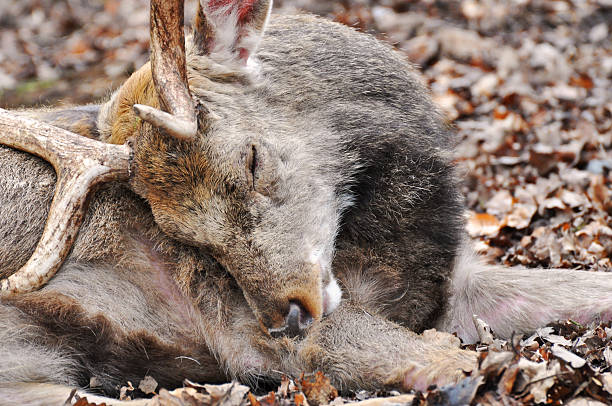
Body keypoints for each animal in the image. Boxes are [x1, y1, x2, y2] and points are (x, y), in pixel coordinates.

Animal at [1, 0, 612, 404]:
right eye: (181, 234)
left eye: (251, 159)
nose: (288, 318)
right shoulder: (240, 330)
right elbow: (452, 360)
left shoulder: (454, 280)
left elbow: (580, 289)